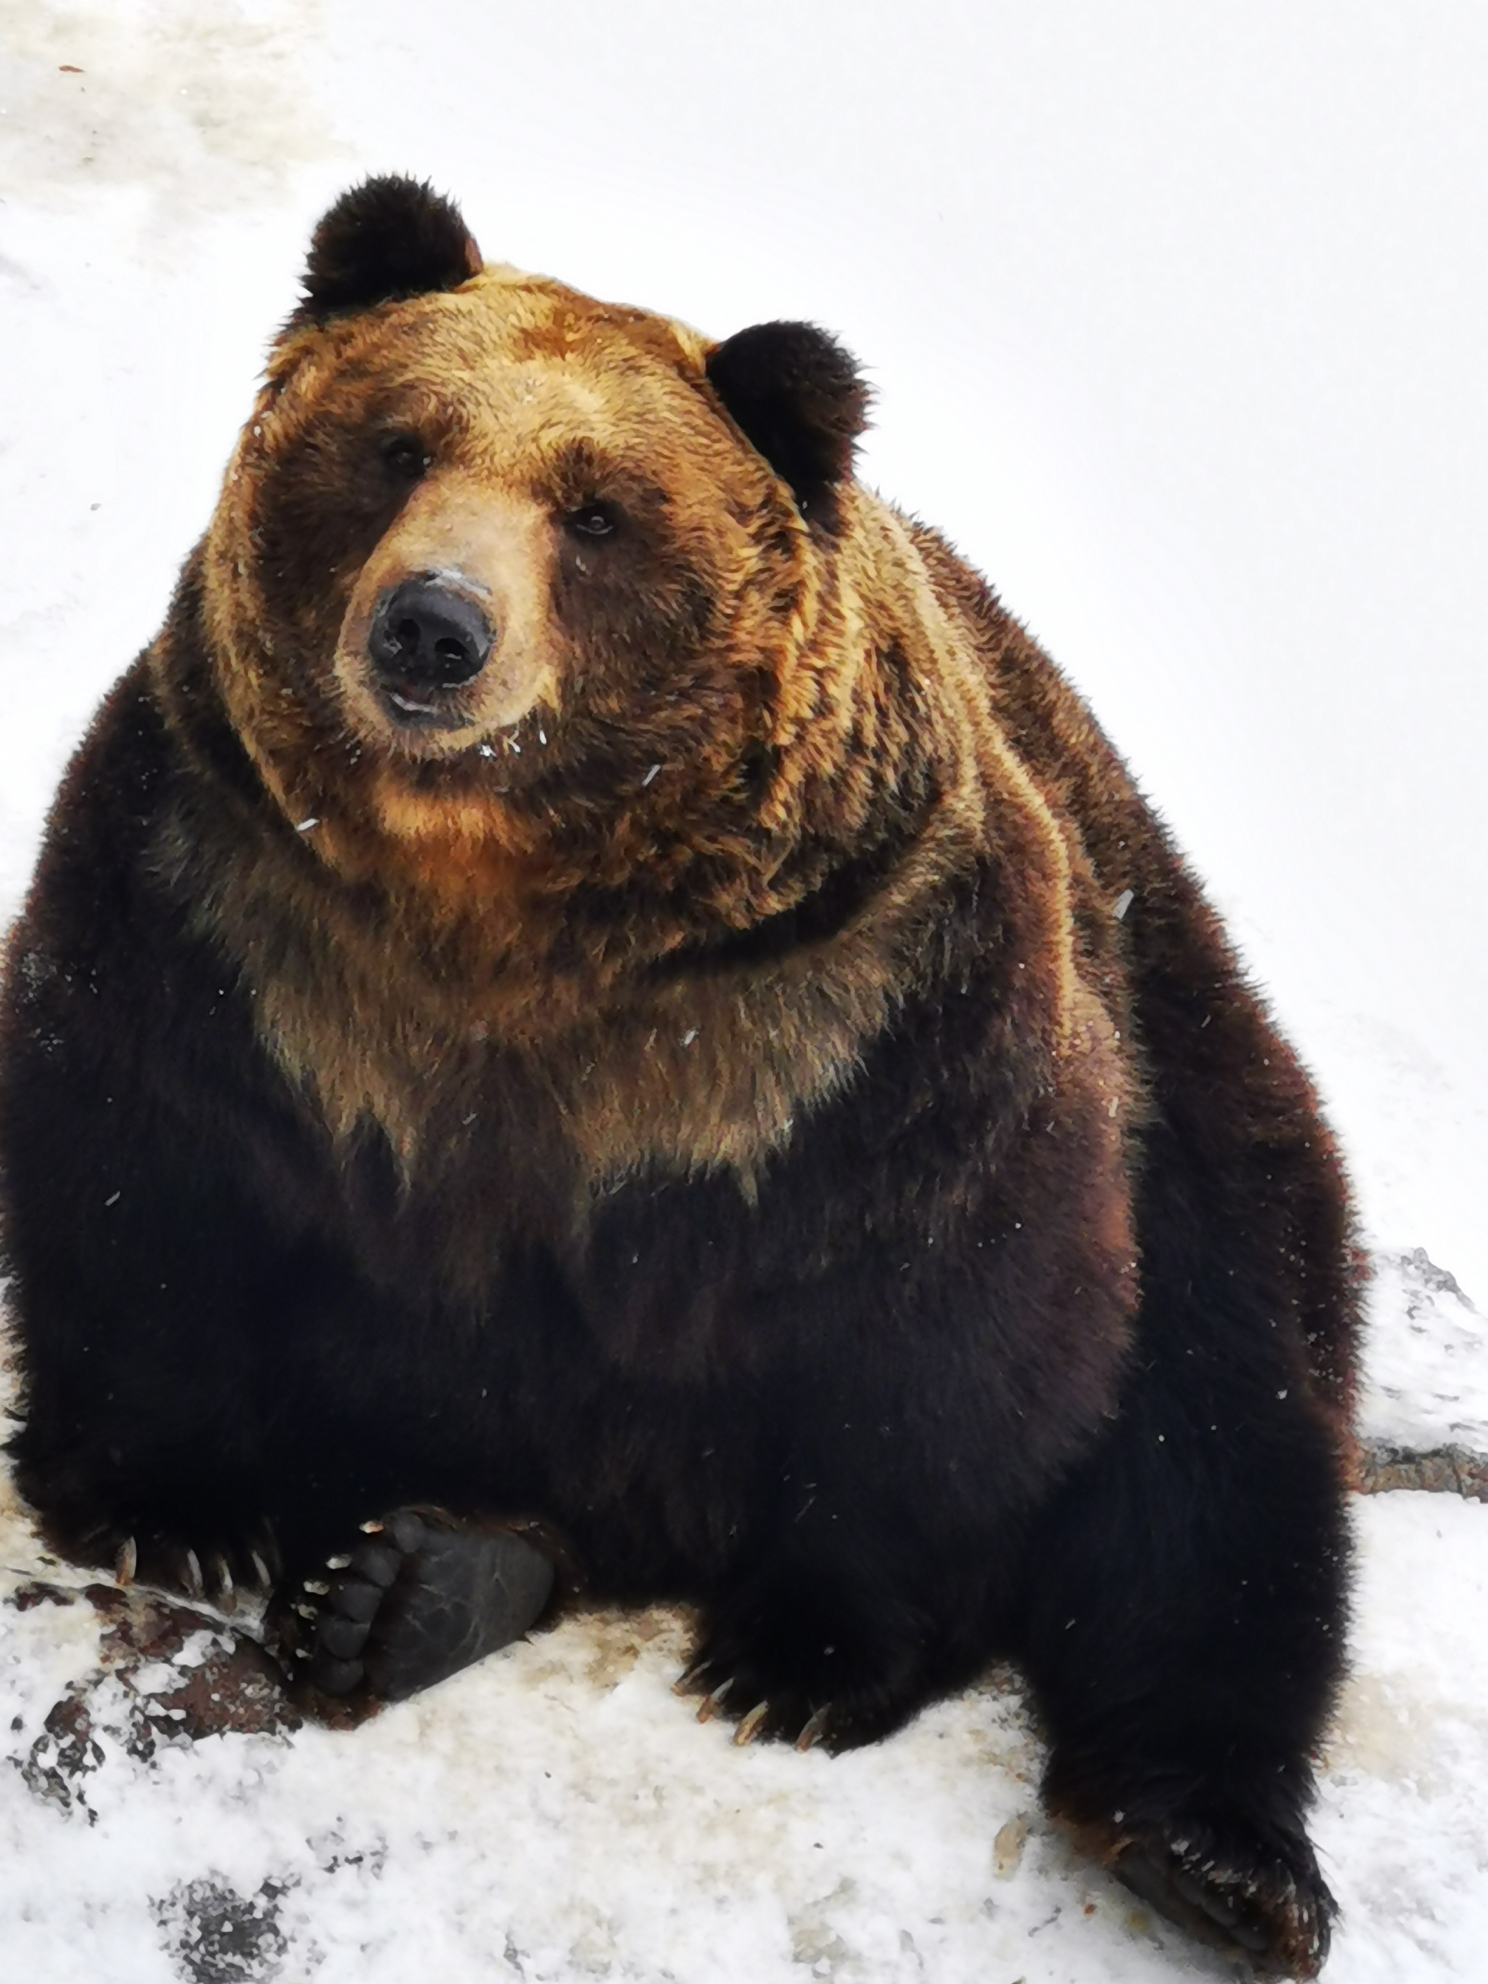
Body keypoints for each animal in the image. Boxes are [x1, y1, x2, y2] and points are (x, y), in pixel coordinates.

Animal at [0, 178, 1357, 1976]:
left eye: (594, 511)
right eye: (395, 443)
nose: (432, 625)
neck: (497, 899)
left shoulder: (854, 999)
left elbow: (954, 1311)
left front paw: (801, 1657)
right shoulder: (226, 900)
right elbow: (137, 1164)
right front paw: (173, 1503)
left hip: (1192, 1071)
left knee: (1218, 1449)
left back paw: (1211, 1850)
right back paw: (410, 1582)